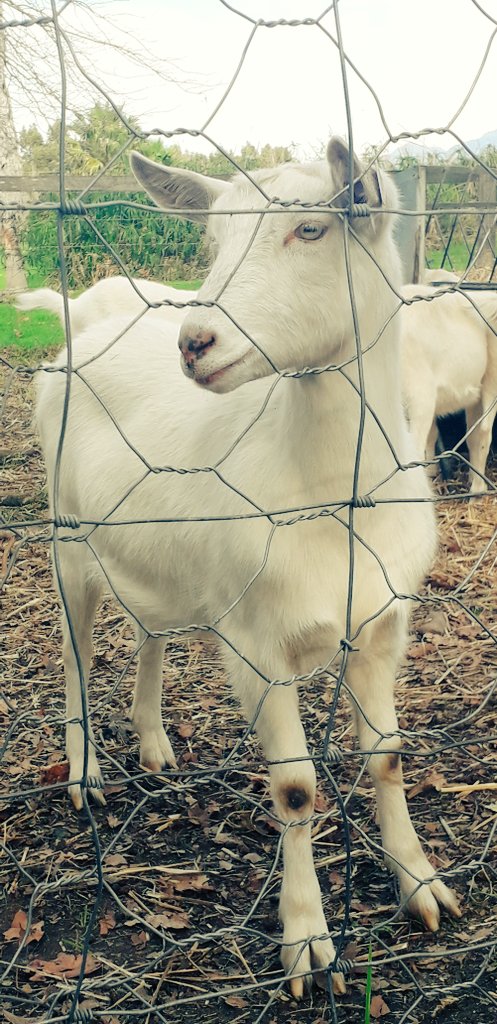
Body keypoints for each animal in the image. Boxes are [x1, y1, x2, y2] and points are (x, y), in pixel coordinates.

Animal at [36, 139, 461, 996]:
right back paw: (87, 770)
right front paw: (306, 943)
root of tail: (80, 332)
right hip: (67, 539)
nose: (193, 341)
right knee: (74, 651)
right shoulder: (256, 645)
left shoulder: (381, 623)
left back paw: (154, 745)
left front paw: (422, 886)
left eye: (311, 229)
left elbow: (388, 757)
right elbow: (294, 788)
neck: (331, 490)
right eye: (213, 239)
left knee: (151, 630)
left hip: (163, 551)